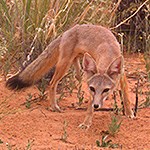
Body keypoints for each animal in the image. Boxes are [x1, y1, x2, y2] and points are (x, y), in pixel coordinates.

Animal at [6, 24, 134, 127]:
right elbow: (89, 107)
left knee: (77, 69)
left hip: (77, 60)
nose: (97, 105)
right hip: (64, 65)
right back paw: (54, 106)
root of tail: (69, 30)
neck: (109, 51)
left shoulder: (122, 75)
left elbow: (126, 95)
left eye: (106, 90)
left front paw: (129, 112)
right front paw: (86, 123)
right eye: (92, 89)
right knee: (52, 84)